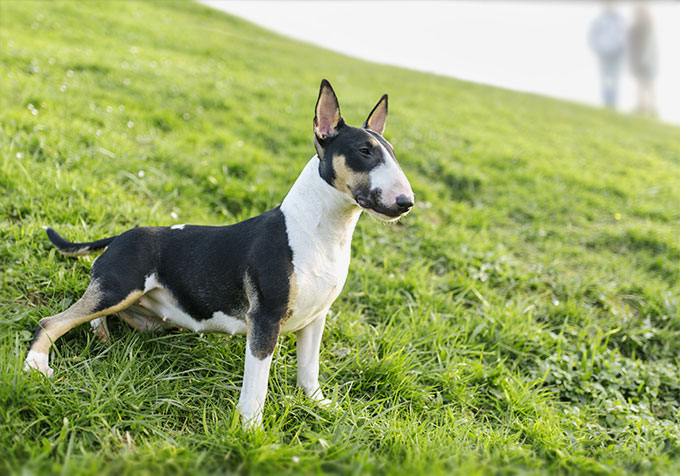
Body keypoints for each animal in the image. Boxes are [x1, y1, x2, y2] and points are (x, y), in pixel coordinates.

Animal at [25, 80, 414, 430]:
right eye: (364, 151)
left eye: (393, 152)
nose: (406, 202)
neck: (322, 231)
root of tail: (121, 234)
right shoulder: (265, 319)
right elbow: (257, 385)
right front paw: (250, 430)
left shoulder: (317, 316)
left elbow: (309, 368)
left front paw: (320, 405)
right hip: (120, 287)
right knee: (53, 321)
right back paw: (36, 365)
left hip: (141, 311)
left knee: (93, 315)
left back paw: (101, 334)